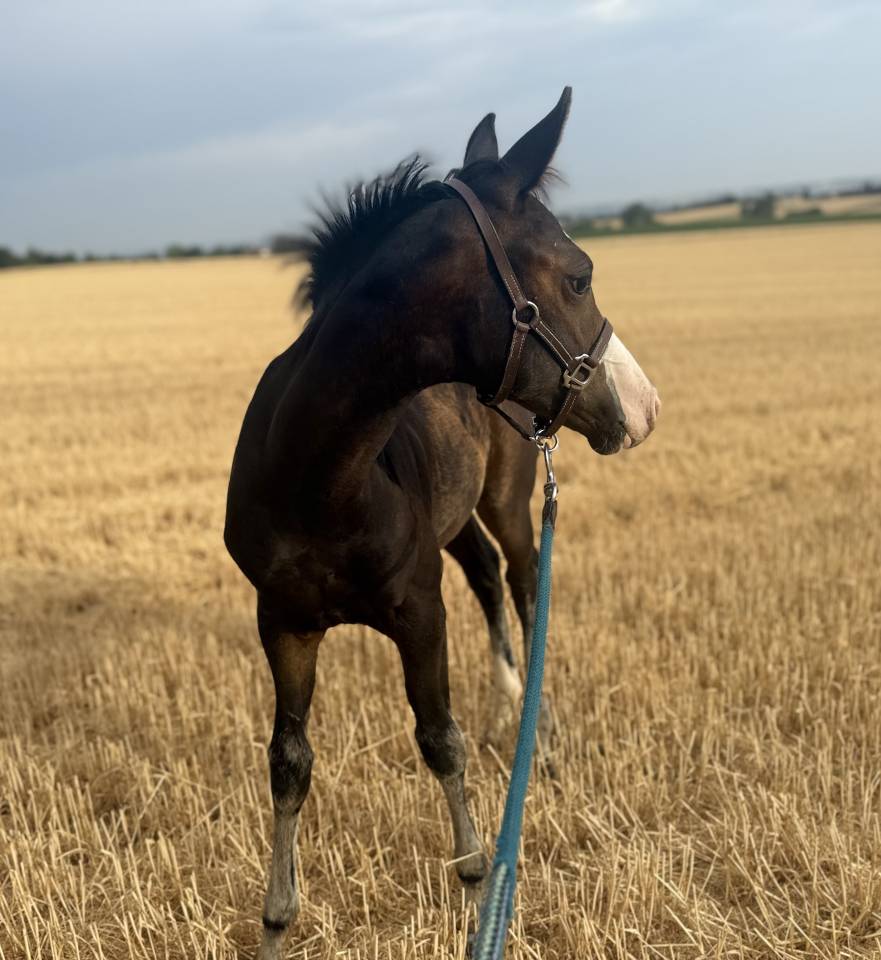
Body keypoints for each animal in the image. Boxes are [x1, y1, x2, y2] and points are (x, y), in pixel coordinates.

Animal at [224, 87, 659, 958]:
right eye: (578, 275)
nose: (643, 408)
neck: (322, 477)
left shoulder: (418, 612)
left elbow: (438, 739)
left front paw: (475, 894)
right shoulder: (282, 620)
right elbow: (289, 760)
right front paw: (276, 923)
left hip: (510, 505)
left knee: (524, 589)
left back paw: (536, 735)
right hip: (455, 525)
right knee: (488, 577)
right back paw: (507, 707)